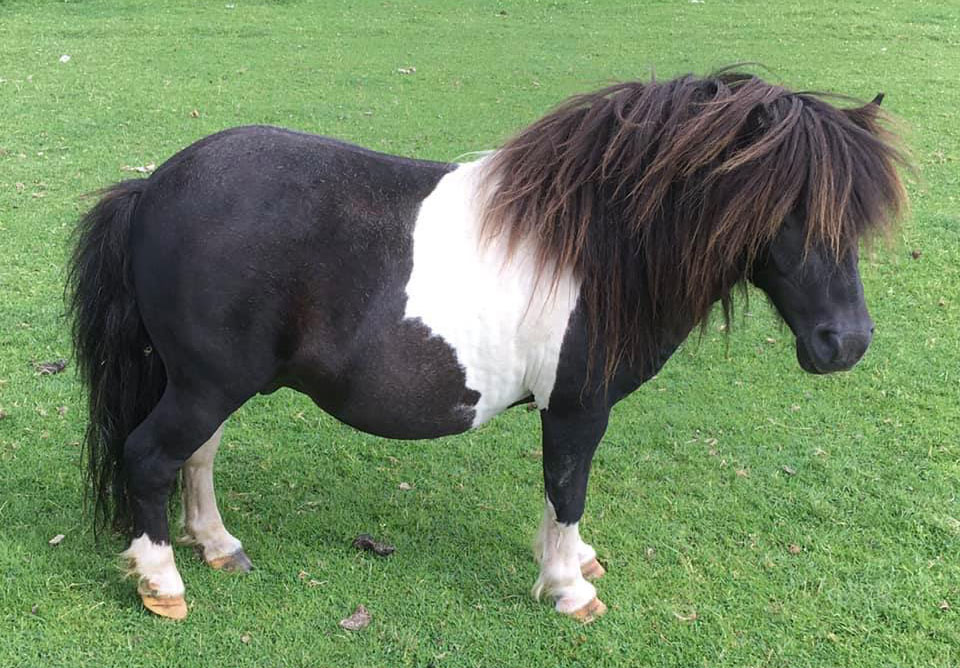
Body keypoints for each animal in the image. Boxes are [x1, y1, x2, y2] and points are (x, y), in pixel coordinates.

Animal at [69, 72, 908, 620]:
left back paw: (217, 546)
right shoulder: (577, 408)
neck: (597, 245)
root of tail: (154, 187)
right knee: (150, 458)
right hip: (205, 384)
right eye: (789, 208)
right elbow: (568, 490)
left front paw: (570, 562)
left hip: (211, 383)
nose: (845, 344)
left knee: (196, 457)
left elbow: (559, 495)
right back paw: (164, 584)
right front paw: (570, 588)